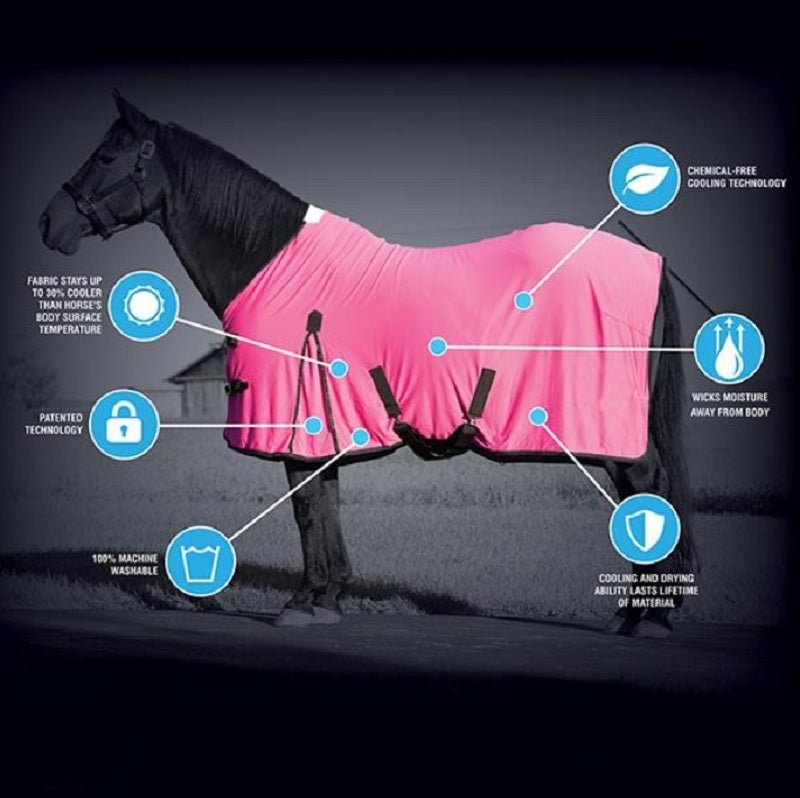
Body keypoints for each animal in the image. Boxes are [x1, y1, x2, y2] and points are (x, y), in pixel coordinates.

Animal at [40, 92, 697, 637]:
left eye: (107, 155)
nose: (50, 224)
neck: (271, 261)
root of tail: (646, 258)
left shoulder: (298, 424)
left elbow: (307, 511)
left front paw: (301, 603)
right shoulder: (322, 430)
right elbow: (326, 508)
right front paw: (327, 599)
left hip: (615, 436)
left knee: (647, 491)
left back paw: (644, 619)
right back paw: (638, 614)